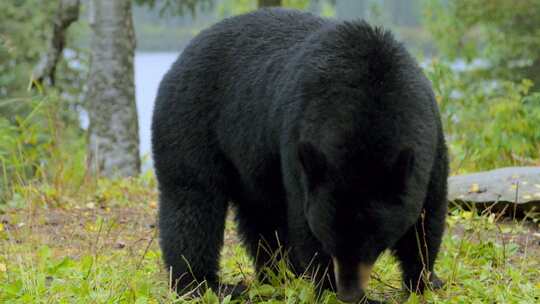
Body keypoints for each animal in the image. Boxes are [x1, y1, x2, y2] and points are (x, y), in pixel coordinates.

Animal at [151, 7, 448, 304]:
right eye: (328, 238)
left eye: (373, 240)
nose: (349, 293)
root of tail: (179, 58)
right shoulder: (298, 140)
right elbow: (302, 221)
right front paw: (328, 288)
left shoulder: (429, 140)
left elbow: (427, 216)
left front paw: (424, 281)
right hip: (191, 124)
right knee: (193, 202)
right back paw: (203, 284)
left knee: (260, 216)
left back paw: (277, 277)